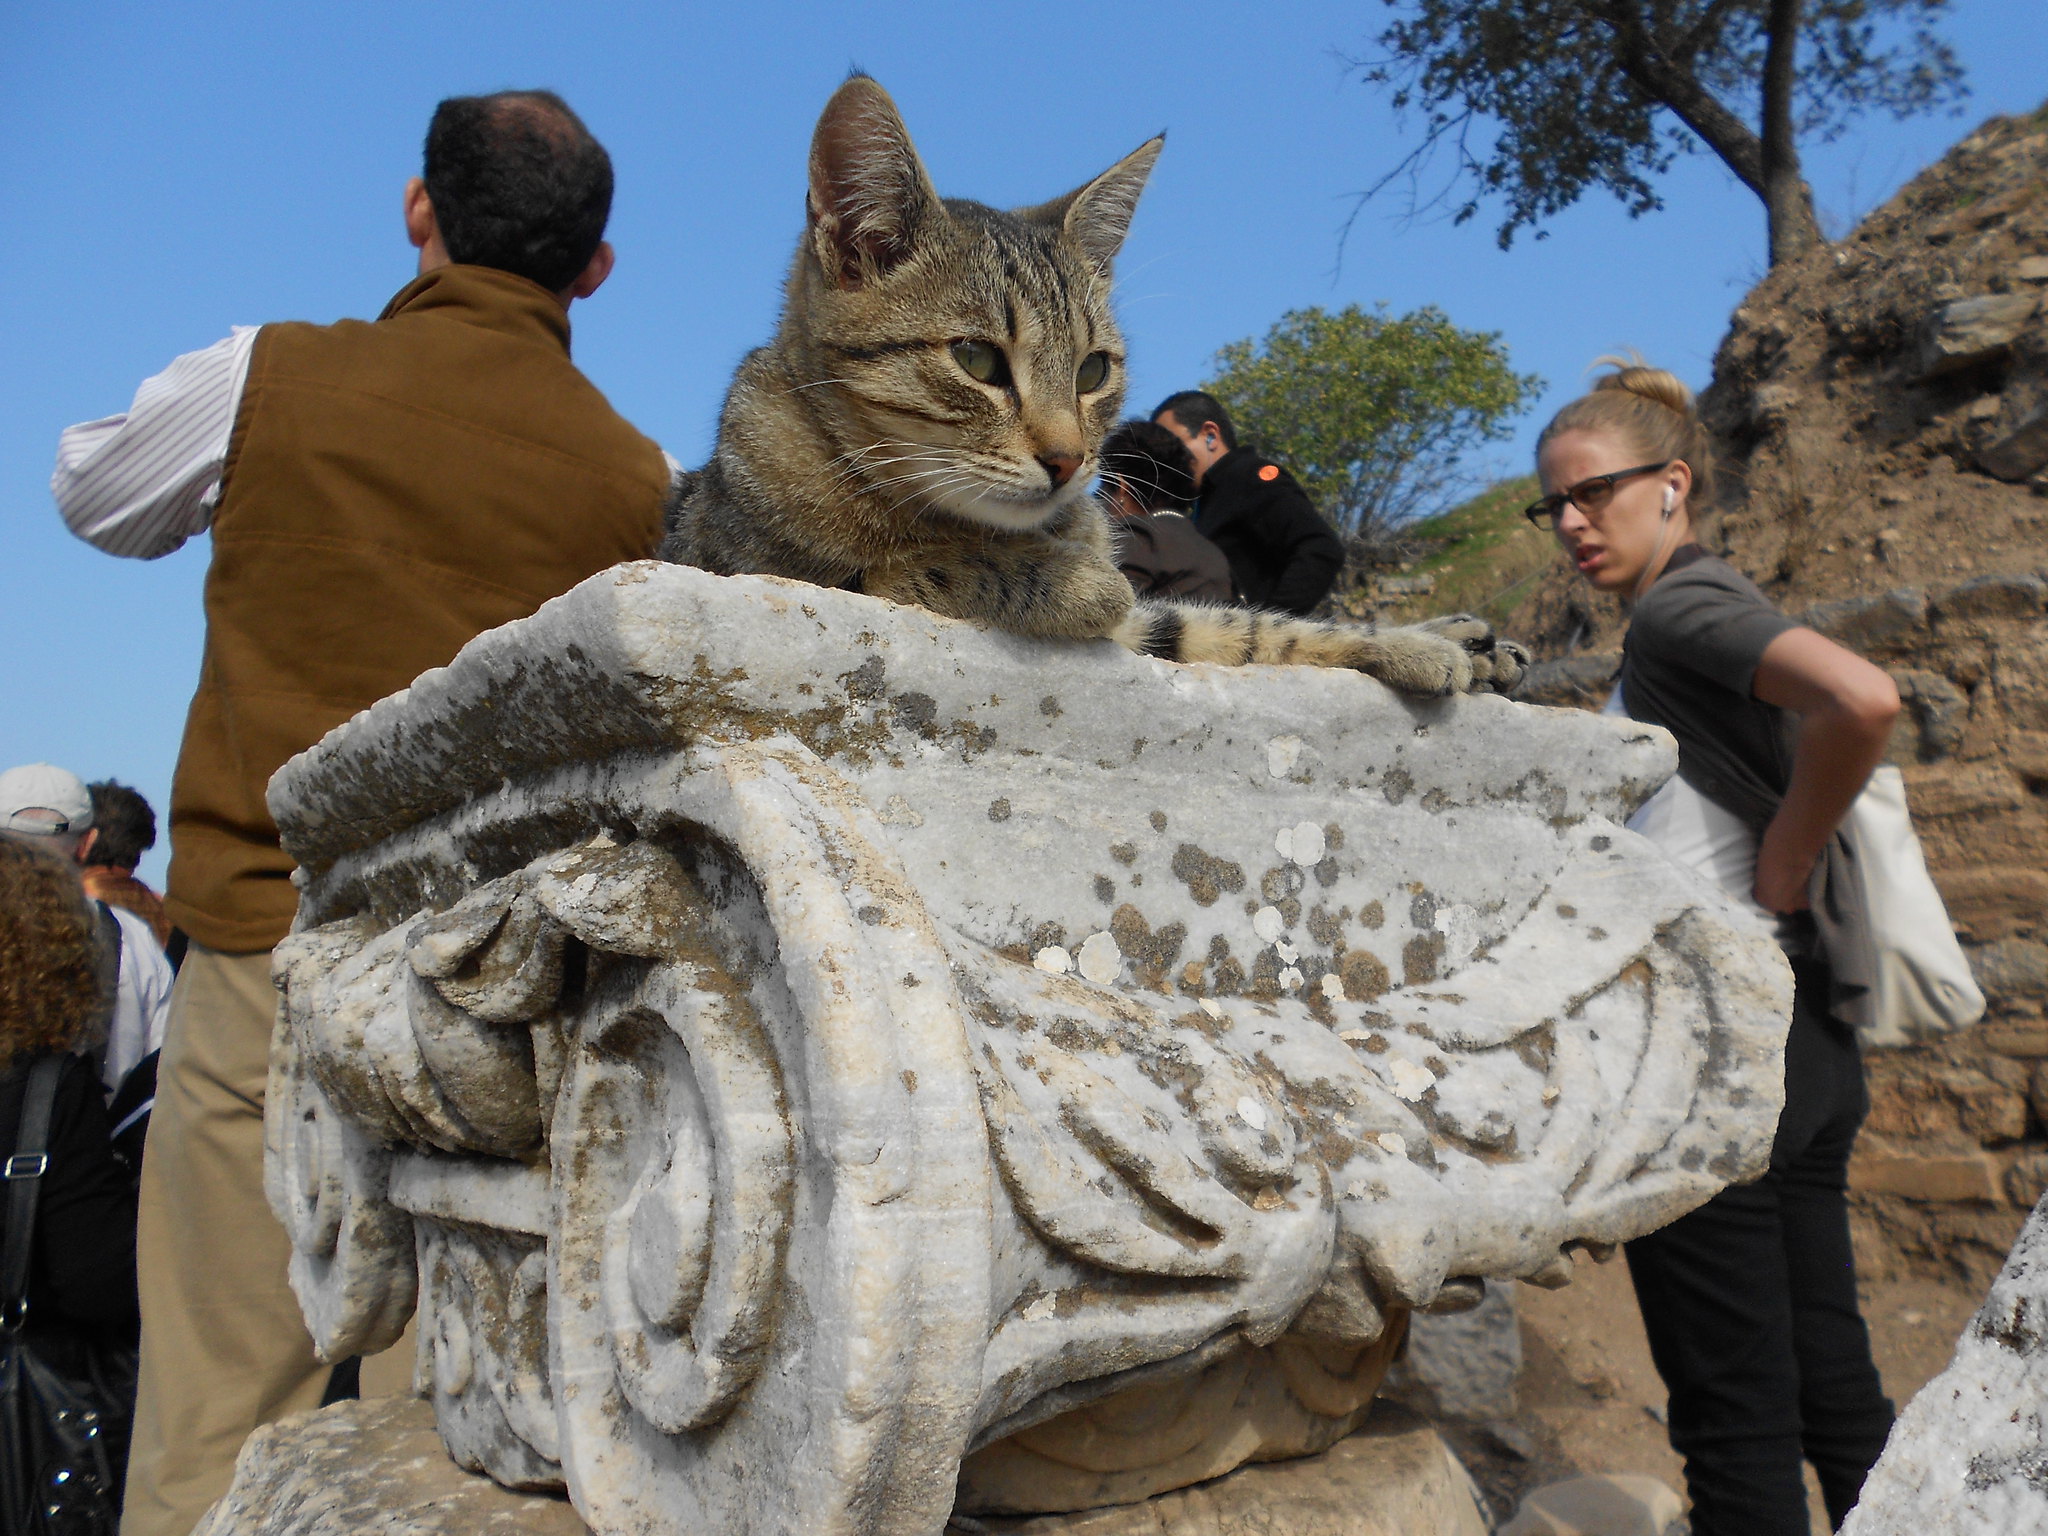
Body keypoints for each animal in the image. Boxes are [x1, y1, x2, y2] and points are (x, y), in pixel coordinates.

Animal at [663, 73, 1531, 696]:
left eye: (1092, 371)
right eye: (977, 360)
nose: (1069, 460)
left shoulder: (1160, 627)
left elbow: (1245, 628)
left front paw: (1424, 643)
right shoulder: (750, 568)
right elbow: (909, 570)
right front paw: (1066, 584)